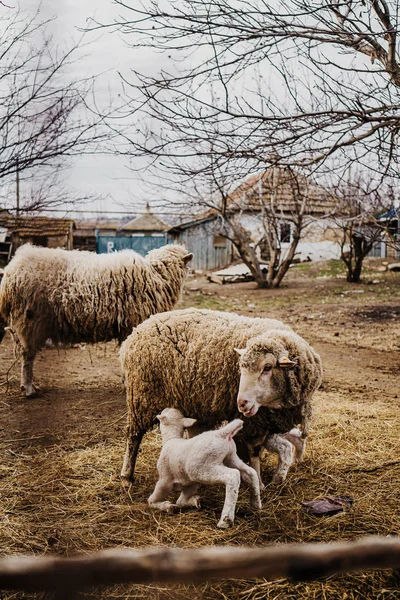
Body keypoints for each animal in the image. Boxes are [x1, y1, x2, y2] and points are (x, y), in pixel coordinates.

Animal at [0, 241, 192, 396]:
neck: (158, 276)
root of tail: (11, 271)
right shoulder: (132, 325)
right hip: (31, 321)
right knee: (27, 356)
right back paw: (28, 388)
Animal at [120, 308, 324, 486]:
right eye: (240, 368)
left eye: (267, 367)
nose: (242, 403)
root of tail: (136, 332)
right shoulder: (254, 421)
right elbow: (255, 452)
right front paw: (259, 482)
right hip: (142, 397)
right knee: (133, 435)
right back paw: (126, 475)